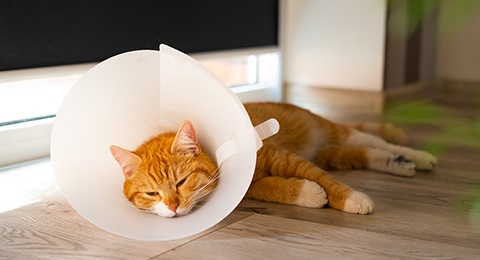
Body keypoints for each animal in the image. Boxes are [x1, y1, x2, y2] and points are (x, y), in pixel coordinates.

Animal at [110, 101, 436, 217]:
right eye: (152, 194)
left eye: (181, 182)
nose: (173, 207)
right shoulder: (251, 187)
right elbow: (275, 188)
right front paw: (309, 194)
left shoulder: (287, 159)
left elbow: (324, 180)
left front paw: (352, 199)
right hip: (333, 153)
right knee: (368, 154)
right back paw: (399, 164)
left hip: (338, 134)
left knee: (374, 140)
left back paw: (417, 156)